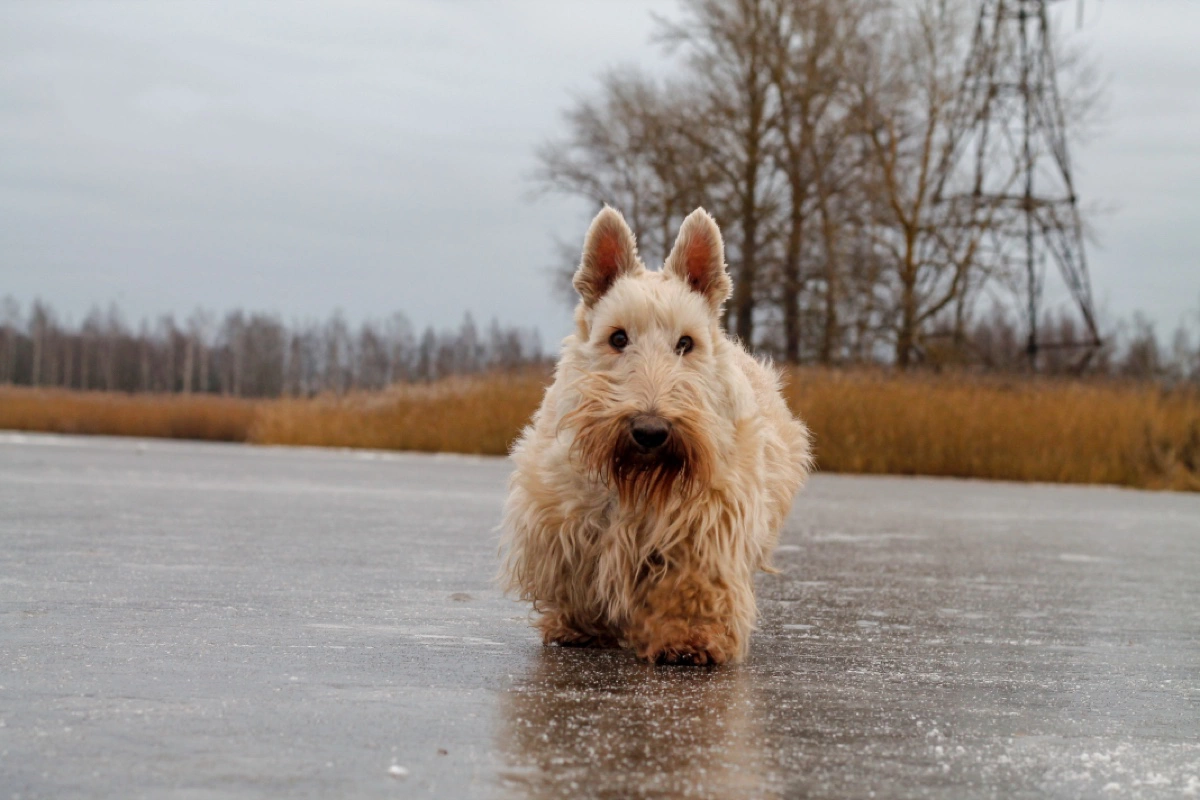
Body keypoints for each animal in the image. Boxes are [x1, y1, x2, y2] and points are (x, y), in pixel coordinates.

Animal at [496, 205, 816, 662]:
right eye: (617, 337)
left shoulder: (705, 521)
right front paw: (579, 624)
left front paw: (691, 637)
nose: (650, 431)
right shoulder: (560, 511)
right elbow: (575, 571)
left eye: (685, 343)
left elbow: (692, 584)